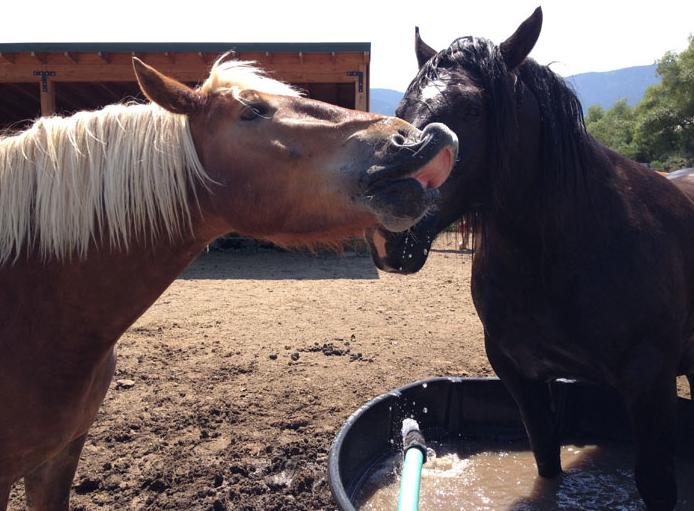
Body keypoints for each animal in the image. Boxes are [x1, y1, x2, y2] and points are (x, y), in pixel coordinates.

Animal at [366, 8, 694, 510]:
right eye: (402, 110)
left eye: (473, 109)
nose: (389, 228)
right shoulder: (518, 373)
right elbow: (545, 456)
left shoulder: (651, 382)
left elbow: (656, 482)